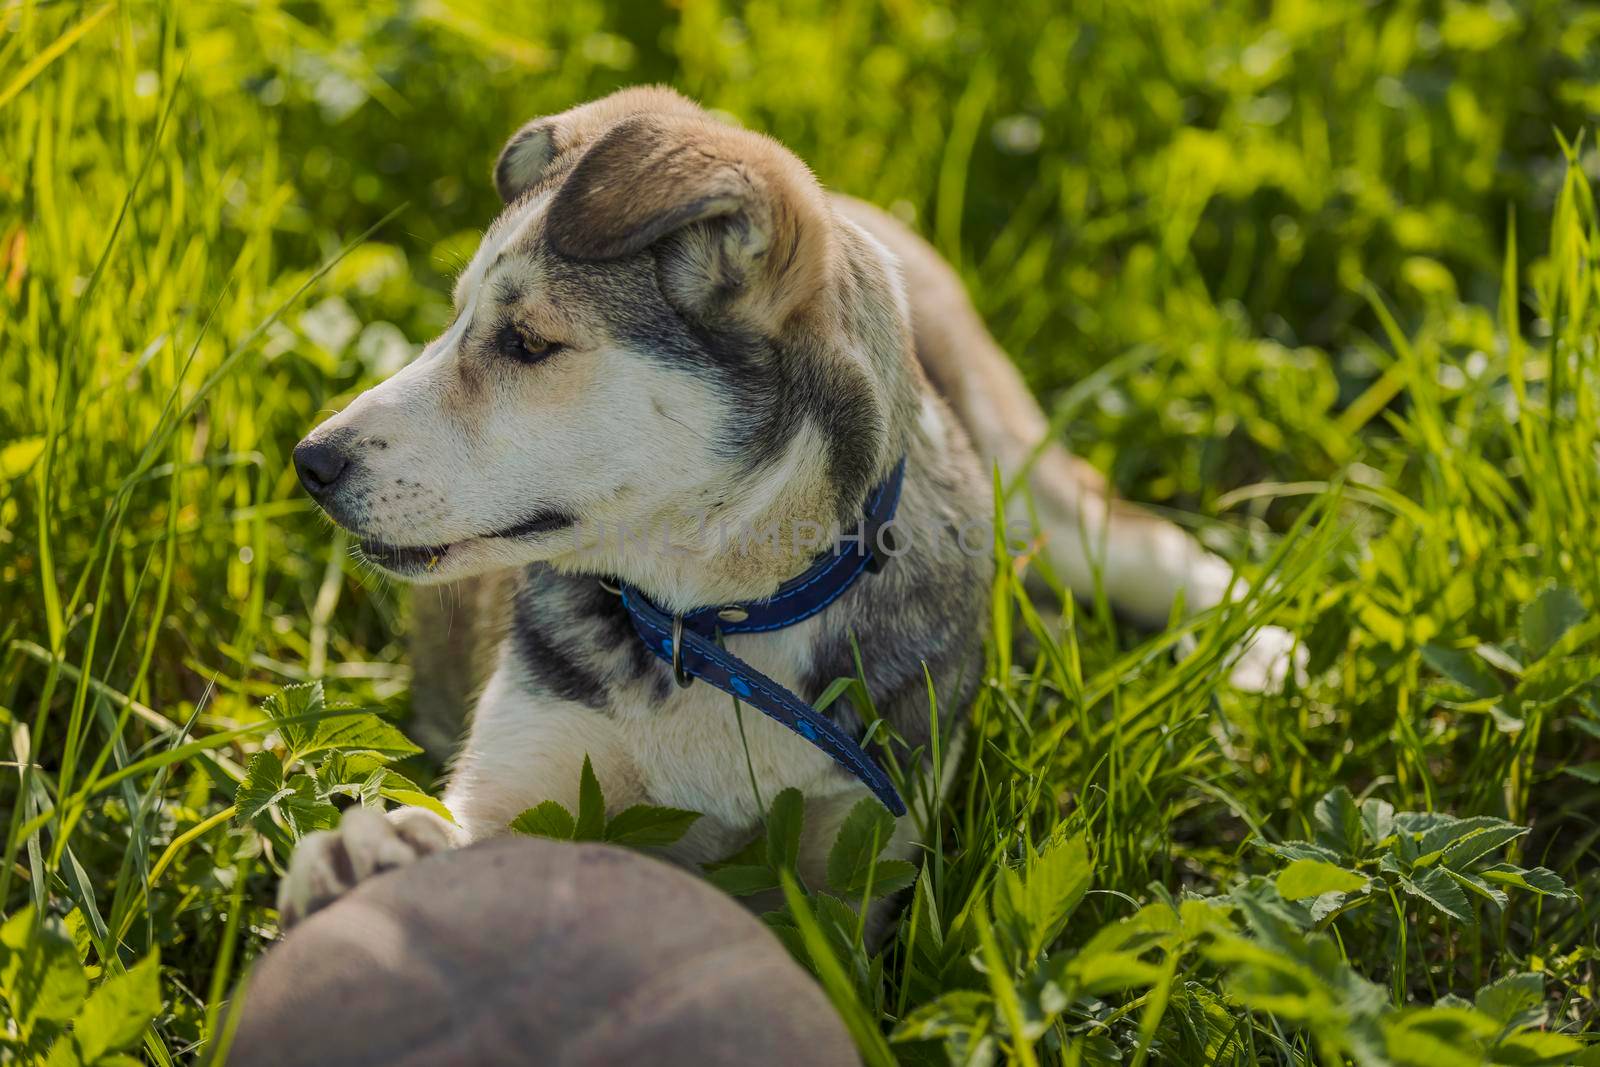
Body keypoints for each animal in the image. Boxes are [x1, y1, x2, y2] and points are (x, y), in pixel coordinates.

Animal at [281, 85, 1292, 927]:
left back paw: (1264, 649)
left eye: (528, 343)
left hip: (1026, 469)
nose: (310, 461)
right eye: (450, 321)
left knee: (1136, 537)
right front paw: (369, 853)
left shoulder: (864, 842)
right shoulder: (532, 760)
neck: (717, 625)